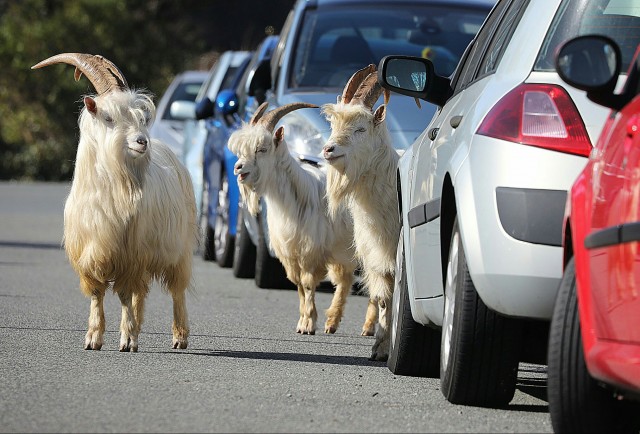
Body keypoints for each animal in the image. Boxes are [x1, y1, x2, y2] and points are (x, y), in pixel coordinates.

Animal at [31, 53, 198, 352]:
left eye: (141, 117)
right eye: (108, 117)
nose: (141, 142)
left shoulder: (128, 254)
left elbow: (123, 294)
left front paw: (127, 338)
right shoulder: (93, 250)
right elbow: (98, 294)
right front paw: (93, 337)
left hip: (178, 247)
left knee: (176, 290)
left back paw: (179, 336)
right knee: (142, 292)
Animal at [228, 103, 378, 338]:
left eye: (262, 149)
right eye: (241, 150)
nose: (238, 167)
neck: (294, 196)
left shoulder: (310, 251)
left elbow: (307, 284)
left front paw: (308, 324)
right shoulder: (290, 253)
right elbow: (298, 285)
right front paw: (303, 322)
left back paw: (368, 327)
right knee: (346, 280)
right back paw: (332, 323)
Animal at [322, 64, 398, 362]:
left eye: (361, 129)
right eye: (333, 125)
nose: (328, 149)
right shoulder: (379, 257)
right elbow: (385, 300)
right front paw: (380, 349)